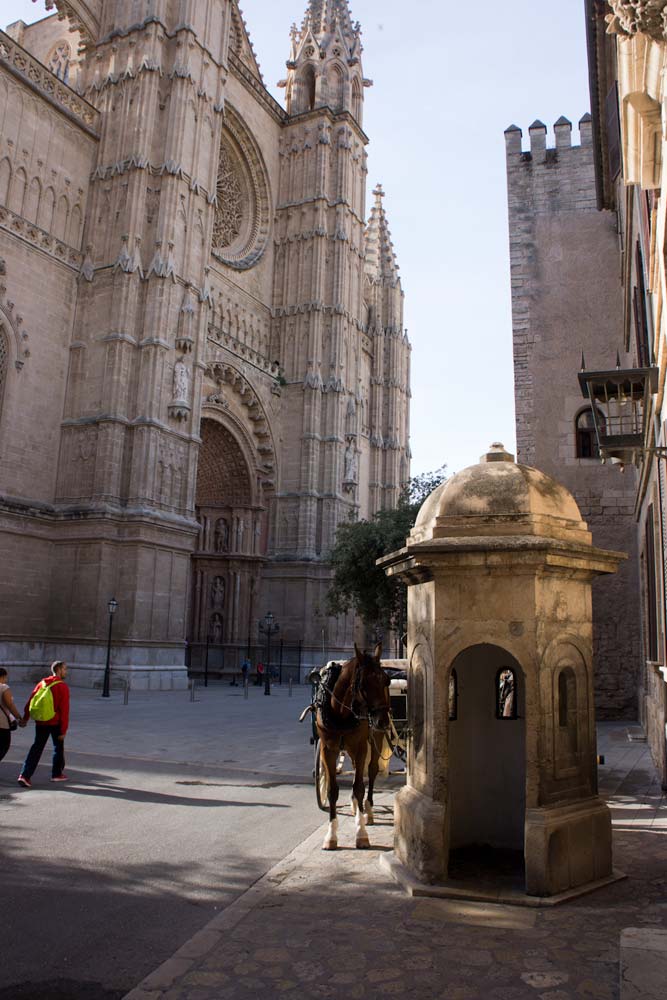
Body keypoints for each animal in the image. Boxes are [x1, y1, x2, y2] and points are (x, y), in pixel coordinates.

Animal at [318, 644, 394, 848]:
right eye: (364, 683)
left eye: (387, 680)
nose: (383, 721)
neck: (341, 713)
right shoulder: (328, 749)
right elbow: (332, 790)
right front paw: (331, 835)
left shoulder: (361, 747)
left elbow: (360, 787)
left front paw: (361, 833)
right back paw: (354, 806)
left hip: (375, 738)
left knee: (372, 770)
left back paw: (368, 811)